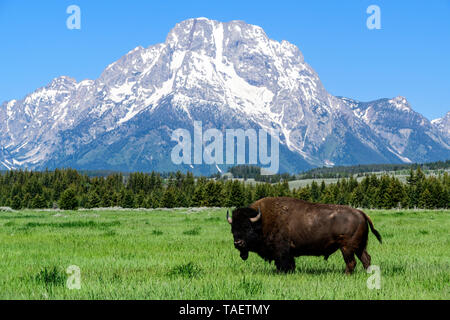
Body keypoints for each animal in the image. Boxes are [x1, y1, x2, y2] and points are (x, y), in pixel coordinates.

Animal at [227, 196, 382, 274]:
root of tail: (360, 213)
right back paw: (369, 274)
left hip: (347, 248)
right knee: (366, 259)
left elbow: (282, 264)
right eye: (233, 229)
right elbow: (290, 264)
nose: (238, 243)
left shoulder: (281, 251)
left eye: (247, 227)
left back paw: (346, 275)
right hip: (359, 247)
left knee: (351, 262)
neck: (262, 221)